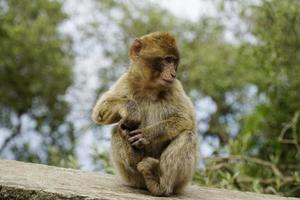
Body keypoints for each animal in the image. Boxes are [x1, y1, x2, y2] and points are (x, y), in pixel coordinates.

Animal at [92, 32, 199, 196]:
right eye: (167, 60)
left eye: (174, 62)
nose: (173, 73)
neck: (150, 88)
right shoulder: (126, 80)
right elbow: (100, 110)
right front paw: (131, 109)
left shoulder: (175, 86)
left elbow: (186, 120)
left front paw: (148, 134)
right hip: (131, 178)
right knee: (117, 129)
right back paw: (133, 156)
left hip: (181, 182)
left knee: (187, 136)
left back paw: (159, 184)